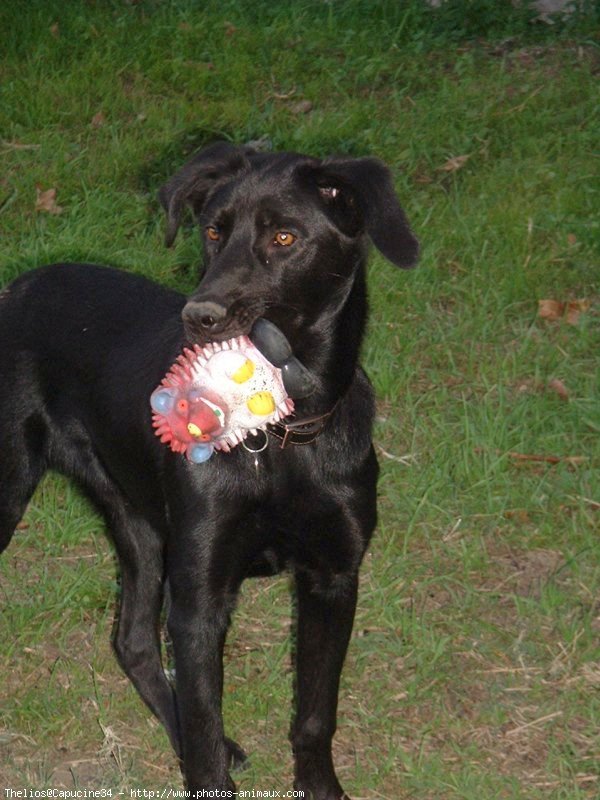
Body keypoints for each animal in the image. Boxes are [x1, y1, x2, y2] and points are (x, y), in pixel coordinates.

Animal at [0, 145, 418, 800]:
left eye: (284, 236)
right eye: (213, 231)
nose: (199, 315)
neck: (280, 436)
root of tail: (18, 283)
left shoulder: (333, 577)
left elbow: (314, 714)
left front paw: (319, 786)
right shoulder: (201, 595)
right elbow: (202, 727)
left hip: (139, 523)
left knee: (131, 640)